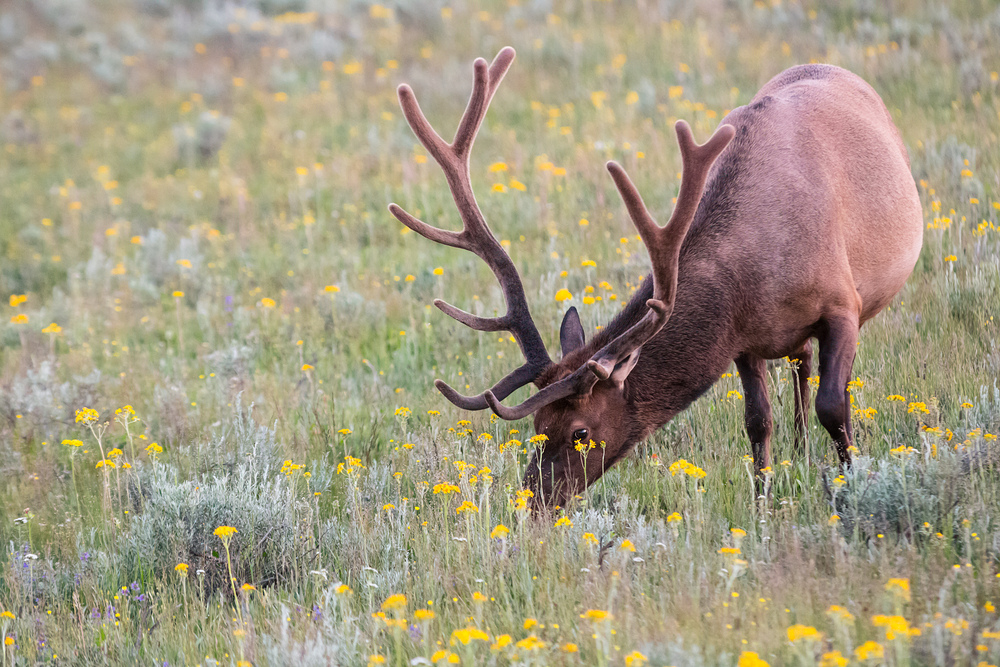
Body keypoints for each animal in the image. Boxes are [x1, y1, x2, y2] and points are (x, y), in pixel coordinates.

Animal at [388, 47, 920, 506]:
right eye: (537, 424)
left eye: (581, 431)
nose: (534, 502)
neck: (755, 276)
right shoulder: (744, 341)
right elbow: (757, 422)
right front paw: (762, 505)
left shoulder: (841, 306)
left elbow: (834, 406)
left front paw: (851, 488)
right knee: (801, 362)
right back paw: (800, 450)